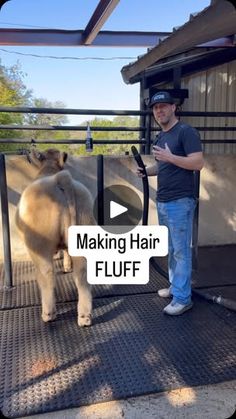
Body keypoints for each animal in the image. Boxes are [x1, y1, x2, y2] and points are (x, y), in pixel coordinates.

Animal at [15, 149, 95, 326]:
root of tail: (60, 178)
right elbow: (66, 253)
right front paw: (66, 265)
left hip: (38, 244)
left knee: (47, 273)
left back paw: (48, 314)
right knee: (82, 274)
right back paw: (84, 317)